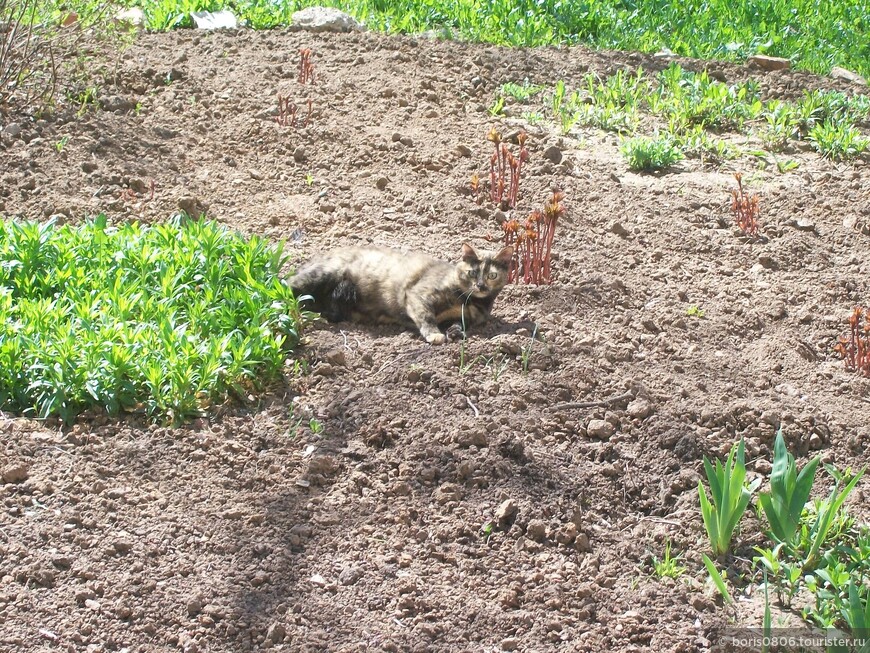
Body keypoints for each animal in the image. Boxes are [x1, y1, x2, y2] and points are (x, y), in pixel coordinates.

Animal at [290, 242, 516, 344]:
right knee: (288, 285)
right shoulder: (419, 294)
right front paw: (434, 334)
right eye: (472, 273)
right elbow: (426, 316)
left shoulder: (467, 318)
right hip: (322, 274)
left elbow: (459, 324)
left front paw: (454, 332)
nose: (481, 286)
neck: (472, 301)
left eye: (492, 275)